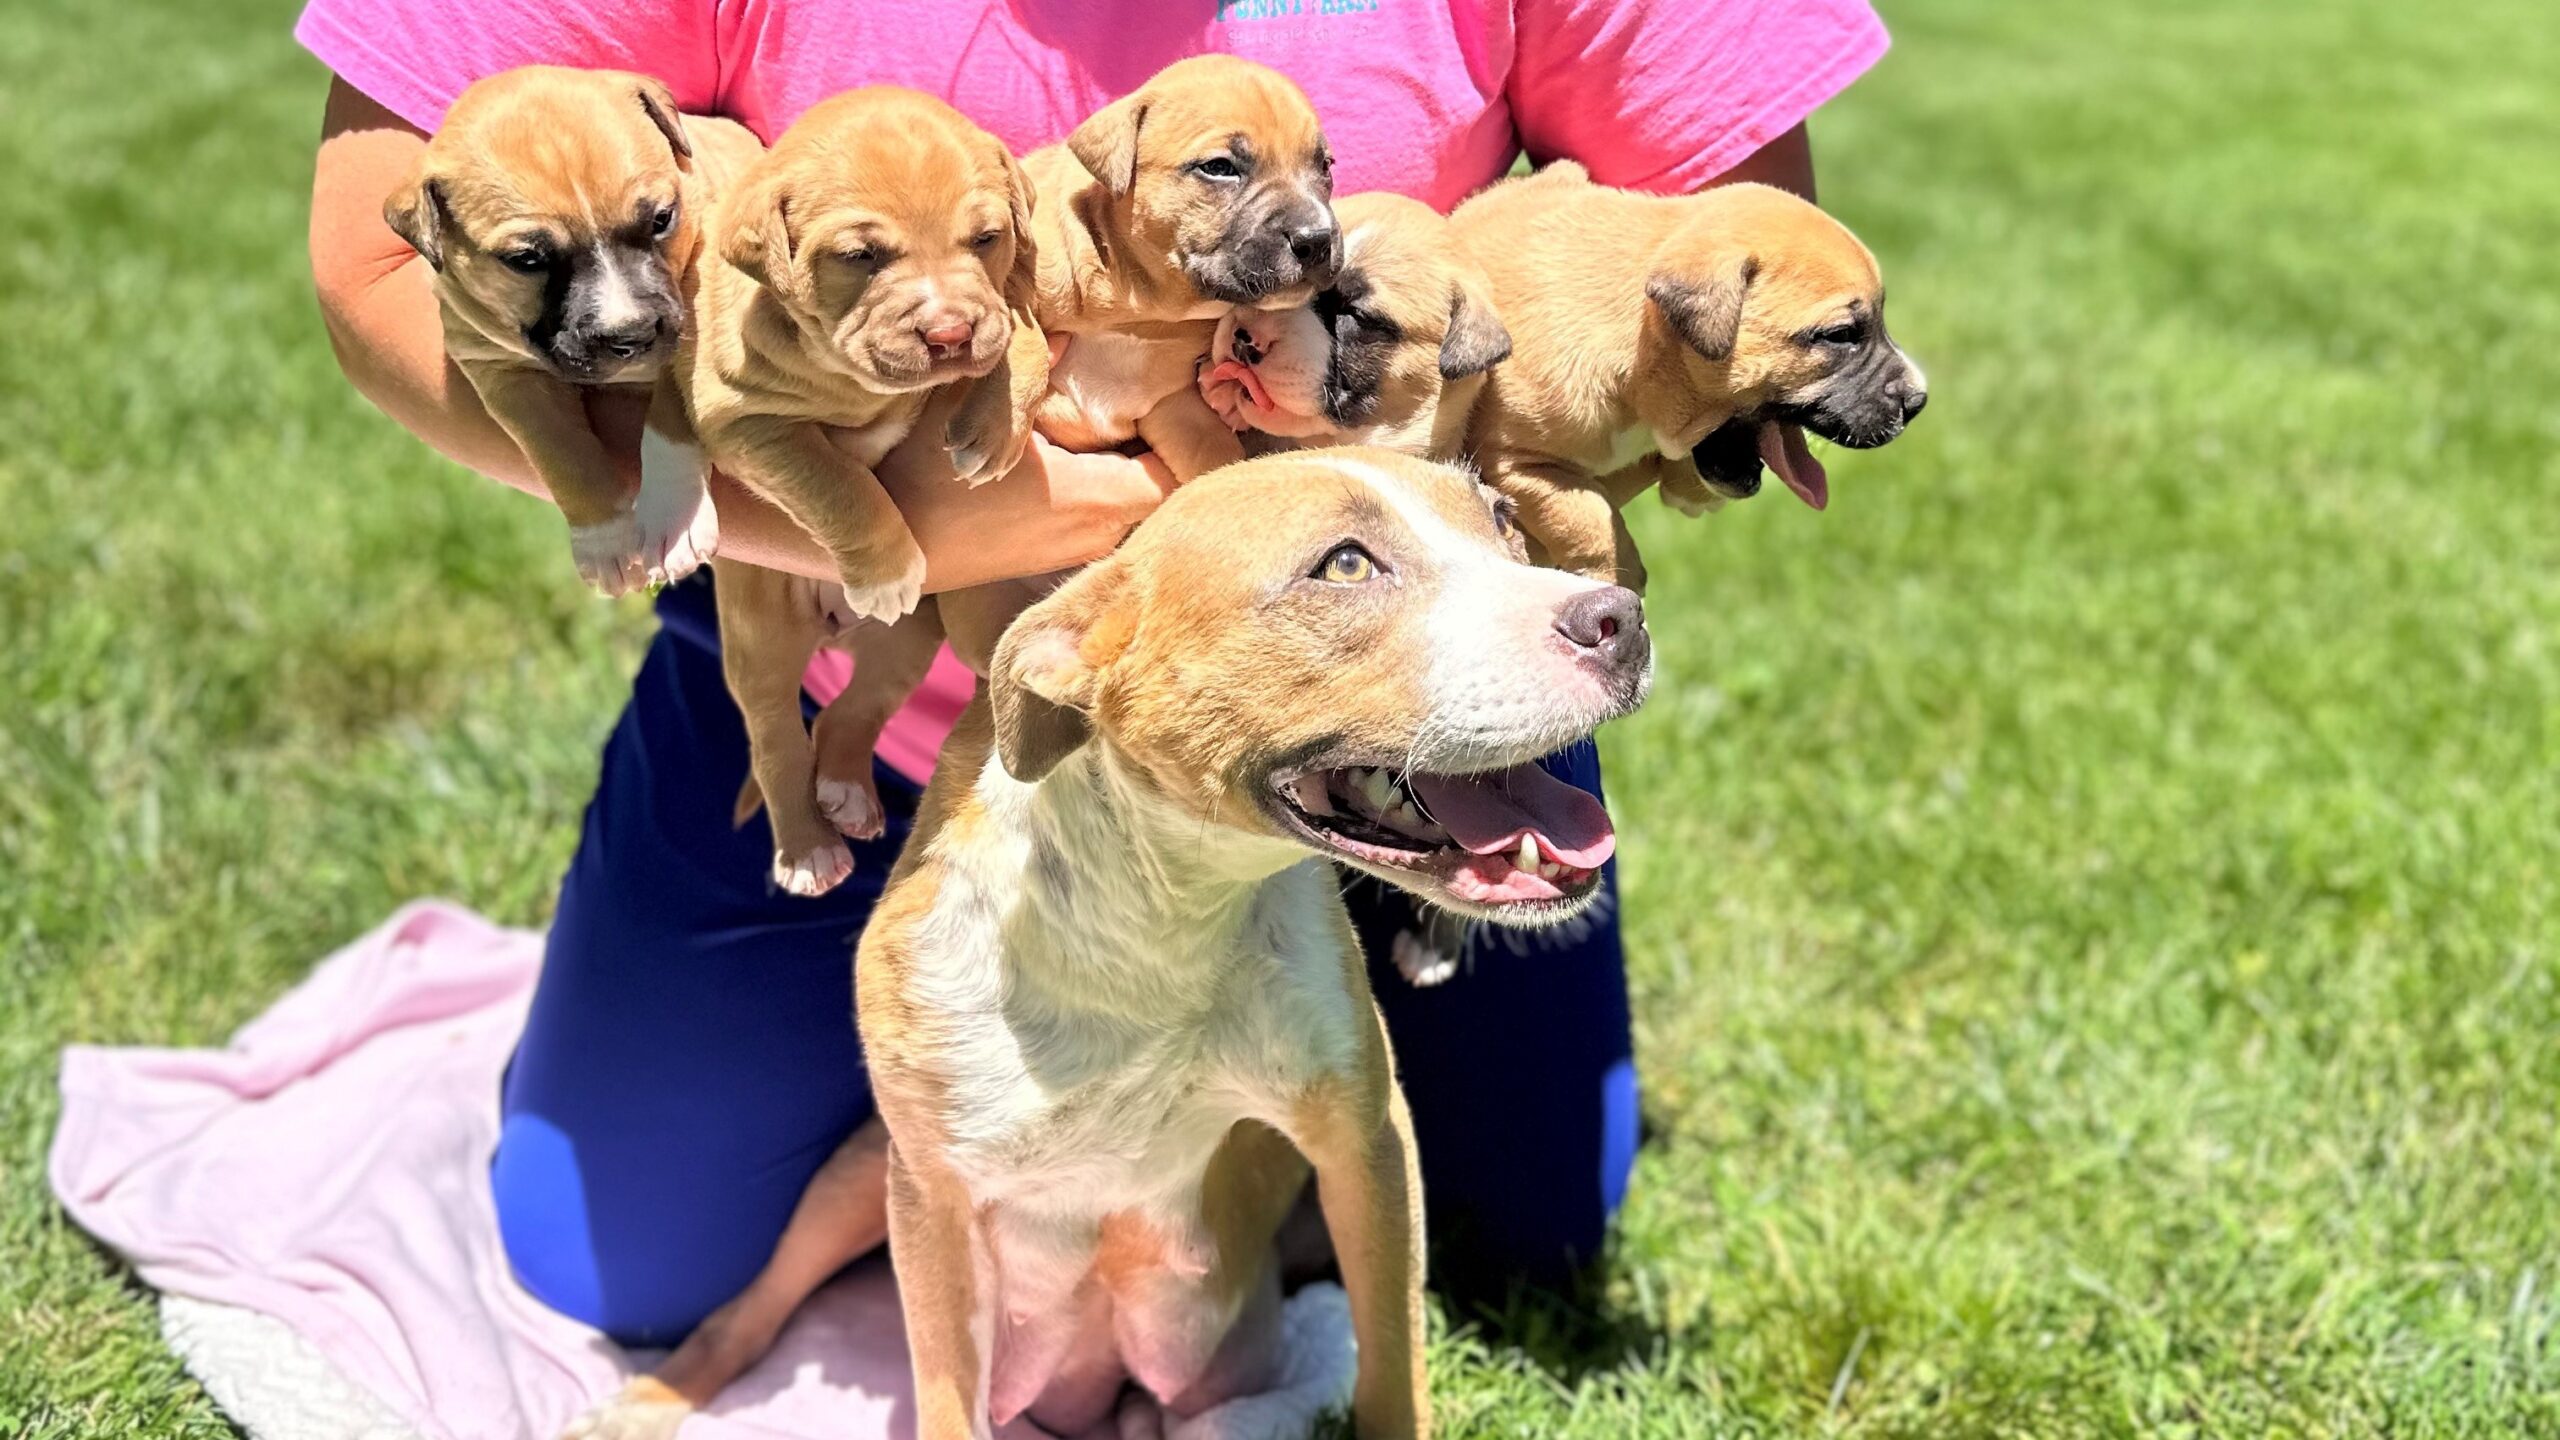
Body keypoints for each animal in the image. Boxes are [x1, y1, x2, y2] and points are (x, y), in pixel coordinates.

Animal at [378, 65, 757, 594]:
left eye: (662, 219)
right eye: (526, 260)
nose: (632, 336)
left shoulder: (696, 319)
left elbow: (668, 418)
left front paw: (672, 519)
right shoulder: (502, 373)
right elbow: (560, 451)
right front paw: (604, 539)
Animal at [691, 87, 1049, 886]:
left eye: (986, 238)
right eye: (860, 257)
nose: (948, 336)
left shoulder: (1001, 304)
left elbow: (1022, 331)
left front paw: (997, 421)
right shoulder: (744, 422)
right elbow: (839, 481)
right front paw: (886, 568)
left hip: (907, 646)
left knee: (850, 712)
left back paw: (849, 793)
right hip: (763, 639)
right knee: (776, 737)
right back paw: (809, 848)